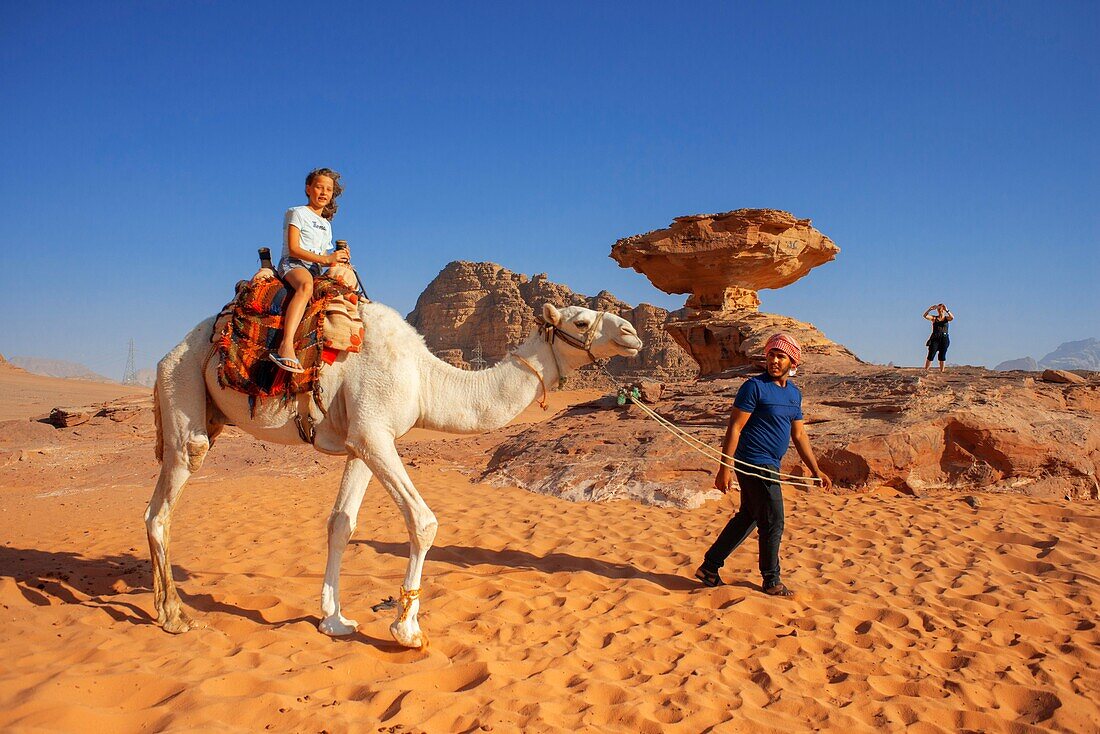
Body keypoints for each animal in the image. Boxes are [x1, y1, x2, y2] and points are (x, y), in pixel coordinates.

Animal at [146, 301, 642, 647]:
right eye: (581, 322)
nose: (633, 333)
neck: (426, 380)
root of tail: (166, 355)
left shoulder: (362, 441)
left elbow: (341, 524)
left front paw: (334, 620)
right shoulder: (375, 433)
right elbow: (423, 522)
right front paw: (406, 628)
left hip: (204, 408)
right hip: (182, 387)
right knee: (165, 502)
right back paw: (174, 616)